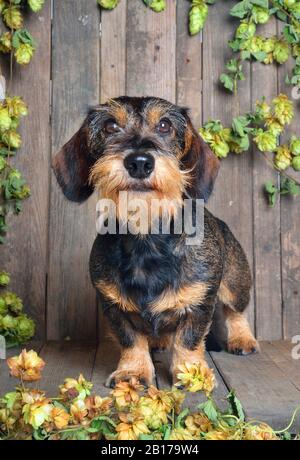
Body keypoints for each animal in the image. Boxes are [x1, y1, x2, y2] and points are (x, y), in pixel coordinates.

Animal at [52, 97, 258, 388]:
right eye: (110, 126)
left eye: (164, 125)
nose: (139, 162)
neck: (146, 240)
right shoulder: (113, 305)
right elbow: (130, 340)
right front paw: (133, 372)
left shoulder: (201, 303)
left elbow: (189, 339)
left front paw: (191, 373)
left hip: (235, 283)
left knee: (236, 311)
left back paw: (243, 339)